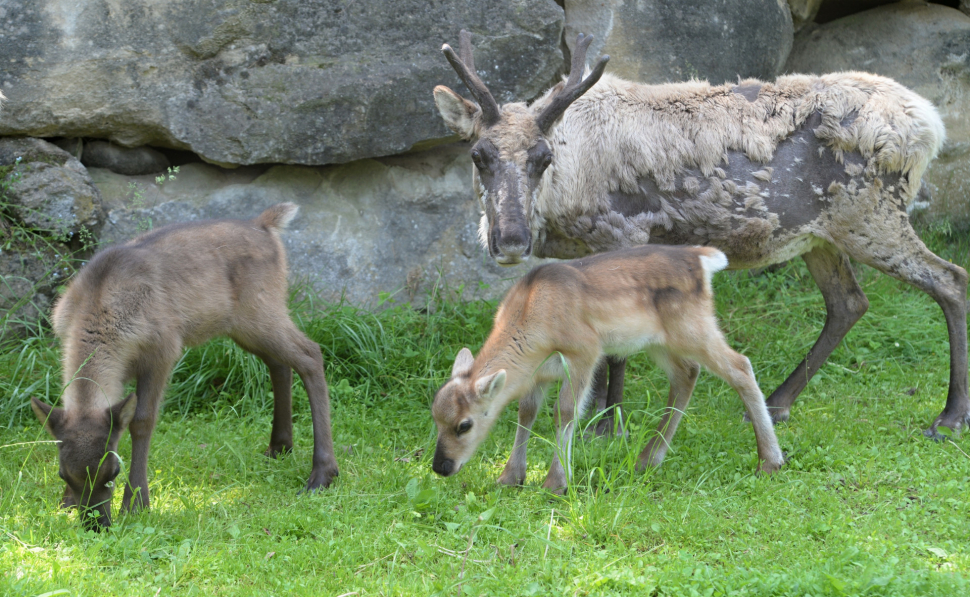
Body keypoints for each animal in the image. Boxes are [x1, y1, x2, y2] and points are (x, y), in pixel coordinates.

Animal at [30, 204, 338, 528]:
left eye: (113, 471)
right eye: (63, 474)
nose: (96, 525)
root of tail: (267, 224)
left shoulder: (163, 350)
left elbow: (142, 421)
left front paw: (137, 503)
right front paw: (65, 503)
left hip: (260, 309)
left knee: (310, 354)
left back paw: (322, 474)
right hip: (243, 325)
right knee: (279, 363)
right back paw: (279, 447)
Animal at [434, 244, 784, 492]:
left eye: (464, 425)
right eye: (435, 418)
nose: (440, 466)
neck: (533, 319)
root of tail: (703, 259)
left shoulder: (586, 350)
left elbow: (565, 411)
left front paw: (556, 482)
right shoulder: (538, 374)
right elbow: (526, 412)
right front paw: (510, 476)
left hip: (692, 328)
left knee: (740, 366)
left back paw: (770, 461)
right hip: (660, 342)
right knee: (687, 373)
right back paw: (647, 459)